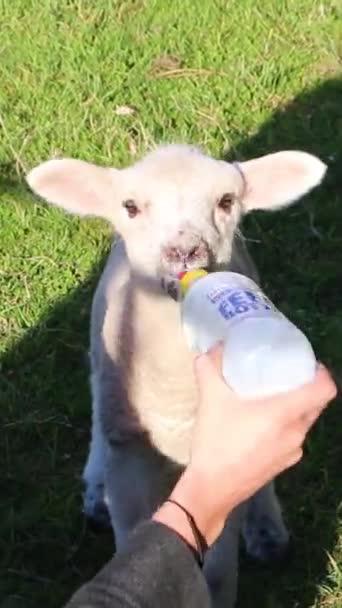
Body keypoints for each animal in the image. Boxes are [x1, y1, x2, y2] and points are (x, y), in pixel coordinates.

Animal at [26, 145, 326, 604]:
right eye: (130, 206)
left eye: (226, 201)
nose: (185, 251)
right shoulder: (129, 450)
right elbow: (131, 536)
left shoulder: (220, 471)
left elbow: (217, 572)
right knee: (95, 392)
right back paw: (94, 488)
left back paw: (267, 528)